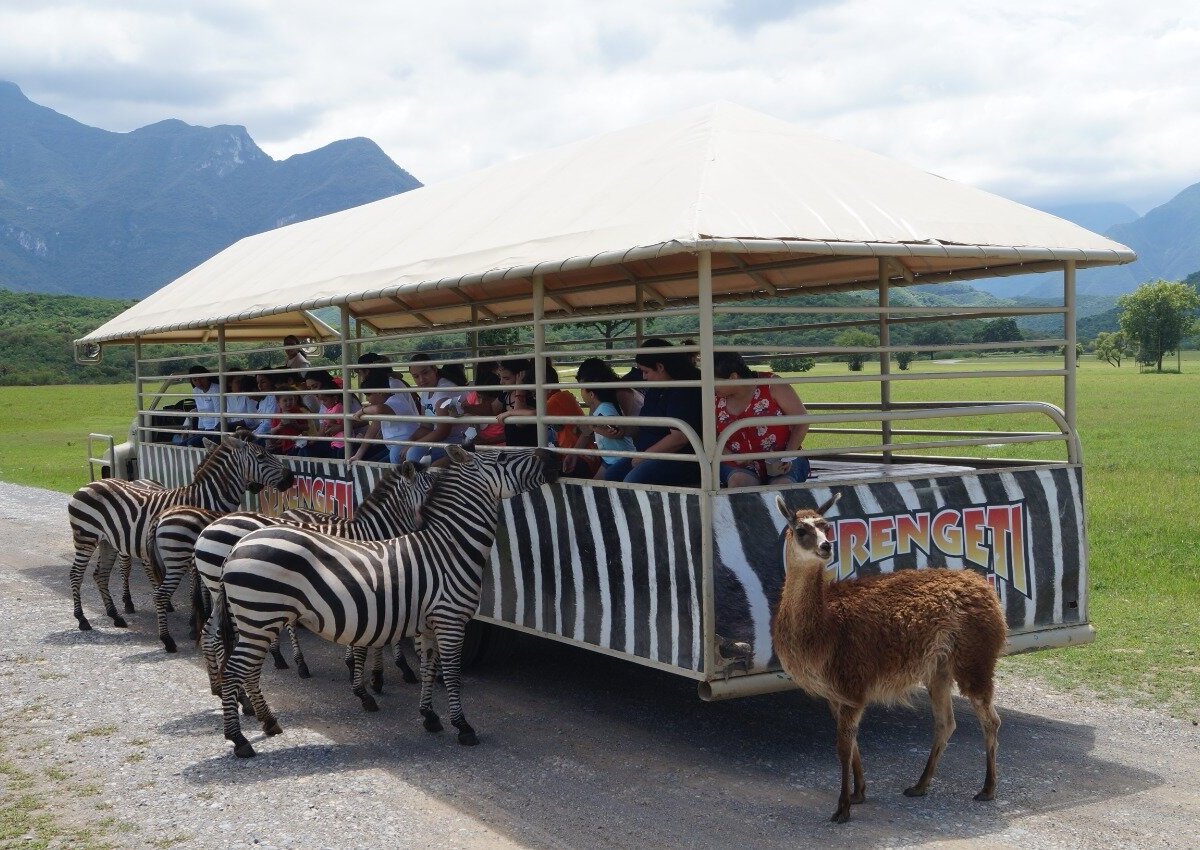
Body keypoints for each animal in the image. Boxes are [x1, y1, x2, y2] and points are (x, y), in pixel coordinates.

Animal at [66, 439, 294, 629]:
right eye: (261, 457)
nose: (291, 478)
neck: (206, 499)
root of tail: (88, 485)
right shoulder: (190, 548)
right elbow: (198, 585)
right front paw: (198, 618)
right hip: (86, 537)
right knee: (77, 574)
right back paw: (83, 619)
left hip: (108, 541)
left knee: (101, 575)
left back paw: (115, 616)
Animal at [214, 444, 556, 758]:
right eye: (503, 457)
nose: (549, 455)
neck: (449, 549)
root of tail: (238, 547)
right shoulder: (450, 620)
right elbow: (452, 674)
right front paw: (462, 726)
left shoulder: (428, 622)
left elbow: (428, 667)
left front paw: (429, 716)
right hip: (260, 616)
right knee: (234, 669)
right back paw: (239, 739)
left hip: (257, 619)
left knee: (247, 668)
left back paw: (267, 721)